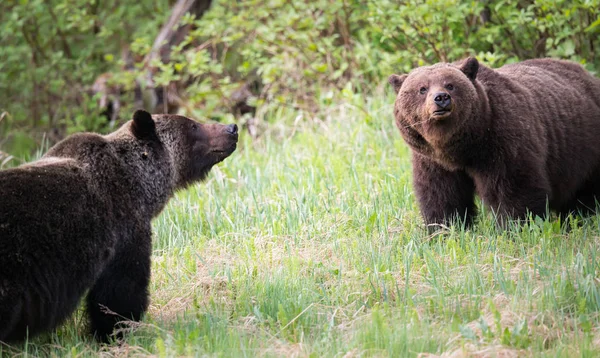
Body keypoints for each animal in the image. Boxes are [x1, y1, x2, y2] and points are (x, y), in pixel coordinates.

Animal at [0, 109, 239, 342]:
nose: (232, 128)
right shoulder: (124, 232)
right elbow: (120, 292)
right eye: (193, 125)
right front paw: (117, 331)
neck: (141, 185)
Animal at [390, 57, 600, 228]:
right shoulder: (432, 161)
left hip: (583, 147)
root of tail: (588, 75)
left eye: (450, 85)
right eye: (422, 88)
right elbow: (441, 195)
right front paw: (445, 228)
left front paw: (516, 227)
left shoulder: (501, 145)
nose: (441, 98)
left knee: (586, 192)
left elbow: (513, 189)